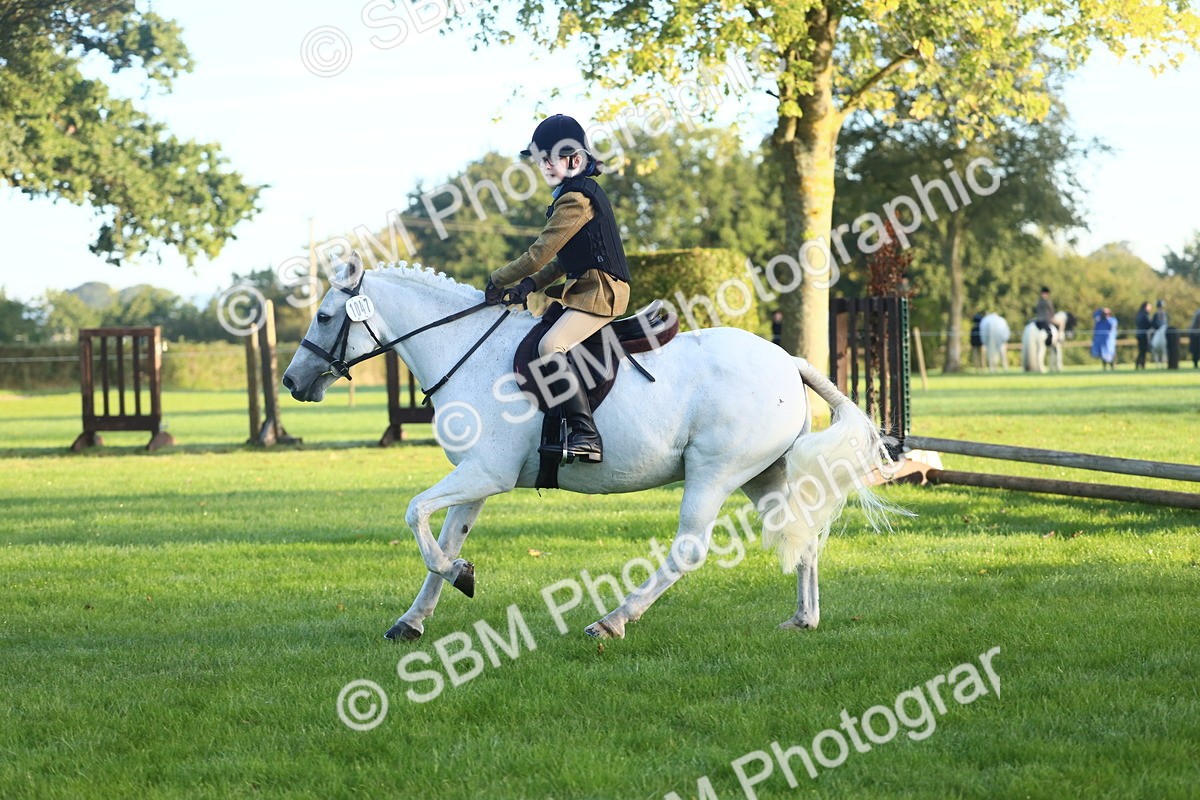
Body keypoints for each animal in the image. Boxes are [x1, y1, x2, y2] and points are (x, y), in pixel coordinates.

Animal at [282, 254, 901, 641]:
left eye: (325, 315)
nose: (292, 381)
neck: (467, 350)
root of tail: (787, 361)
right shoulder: (474, 480)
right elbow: (441, 536)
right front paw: (414, 619)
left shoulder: (488, 474)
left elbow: (417, 517)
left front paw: (462, 574)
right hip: (761, 475)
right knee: (804, 537)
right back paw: (804, 619)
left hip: (714, 472)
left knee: (689, 549)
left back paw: (613, 620)